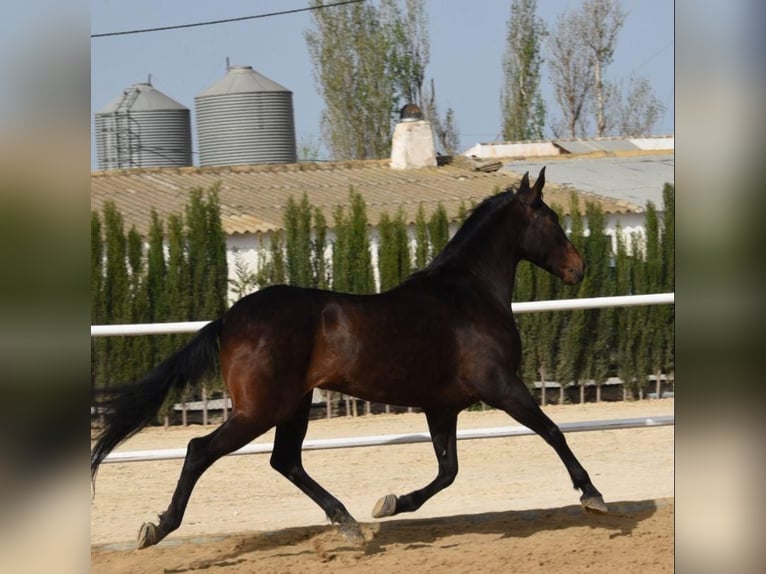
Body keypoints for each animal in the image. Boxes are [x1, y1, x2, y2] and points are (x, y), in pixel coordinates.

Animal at [91, 169, 608, 552]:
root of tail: (229, 318)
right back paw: (158, 528)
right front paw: (592, 495)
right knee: (201, 450)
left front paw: (391, 503)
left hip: (294, 405)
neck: (468, 294)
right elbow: (552, 431)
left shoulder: (441, 407)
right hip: (259, 409)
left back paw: (349, 523)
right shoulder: (500, 385)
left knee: (286, 461)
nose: (578, 268)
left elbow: (447, 472)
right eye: (552, 219)